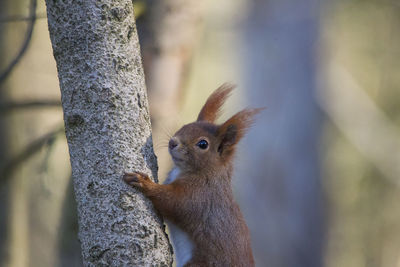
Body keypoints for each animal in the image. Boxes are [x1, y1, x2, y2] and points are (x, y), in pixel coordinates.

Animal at [125, 85, 262, 266]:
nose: (172, 142)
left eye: (203, 144)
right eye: (186, 126)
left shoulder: (200, 196)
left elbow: (173, 201)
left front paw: (144, 182)